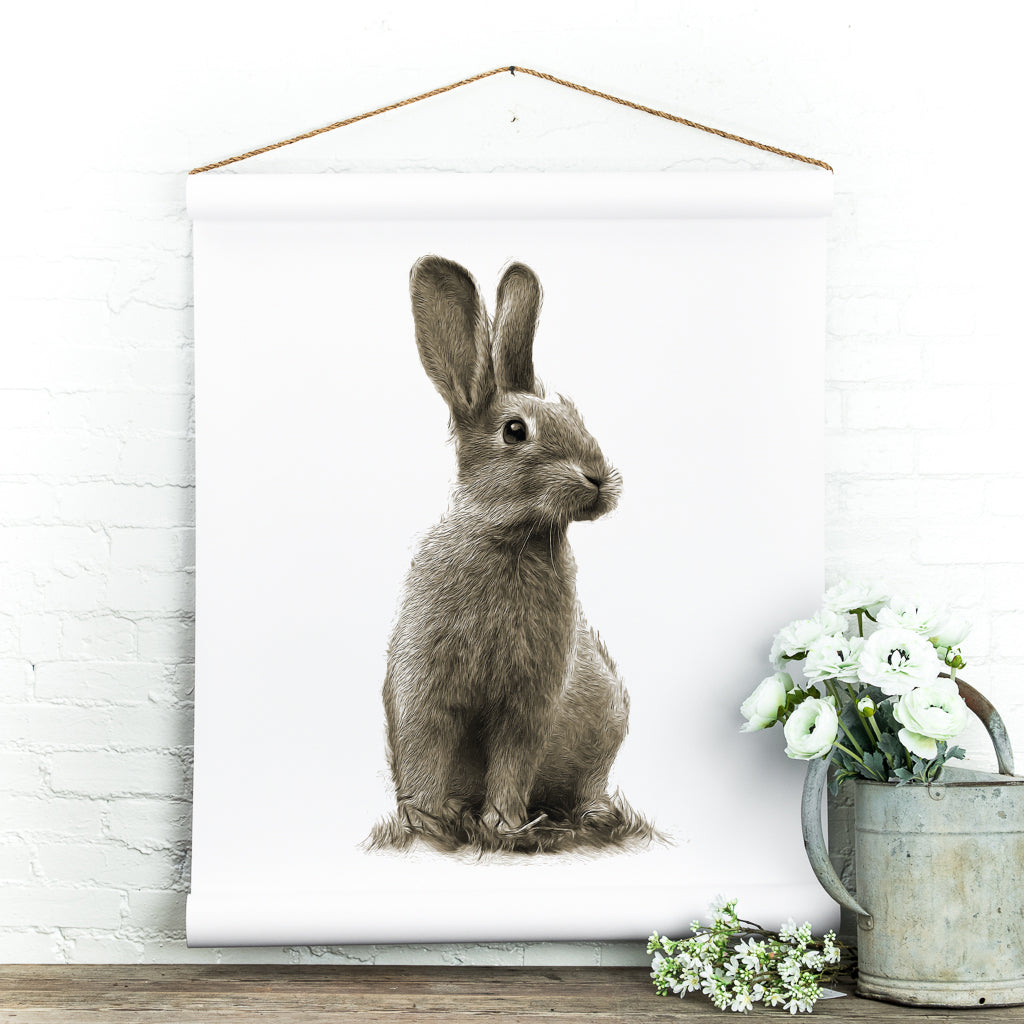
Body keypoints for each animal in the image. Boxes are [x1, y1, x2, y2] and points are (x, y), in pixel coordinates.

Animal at [369, 256, 653, 854]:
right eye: (515, 430)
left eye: (575, 413)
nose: (598, 479)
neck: (510, 538)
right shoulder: (424, 689)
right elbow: (425, 749)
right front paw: (428, 825)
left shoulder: (529, 704)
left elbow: (512, 760)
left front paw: (500, 825)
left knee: (588, 783)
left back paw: (594, 816)